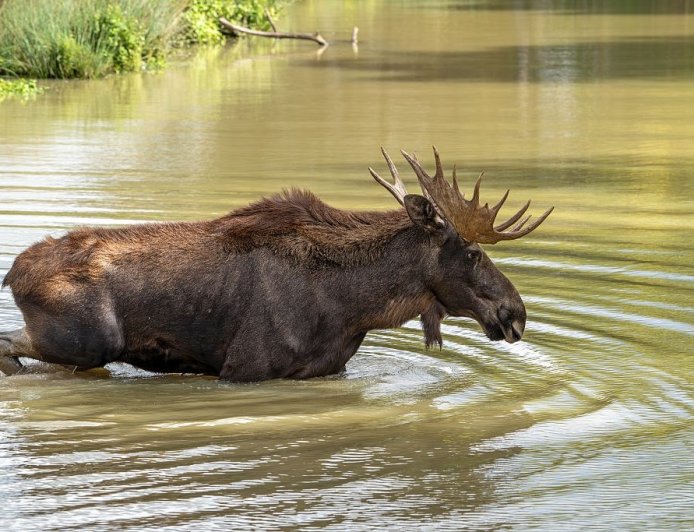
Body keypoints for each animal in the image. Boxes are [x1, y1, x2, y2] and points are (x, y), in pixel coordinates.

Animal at [0, 148, 552, 381]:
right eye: (474, 252)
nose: (517, 314)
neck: (354, 308)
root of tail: (12, 273)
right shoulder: (243, 368)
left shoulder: (326, 372)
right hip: (88, 340)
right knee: (9, 345)